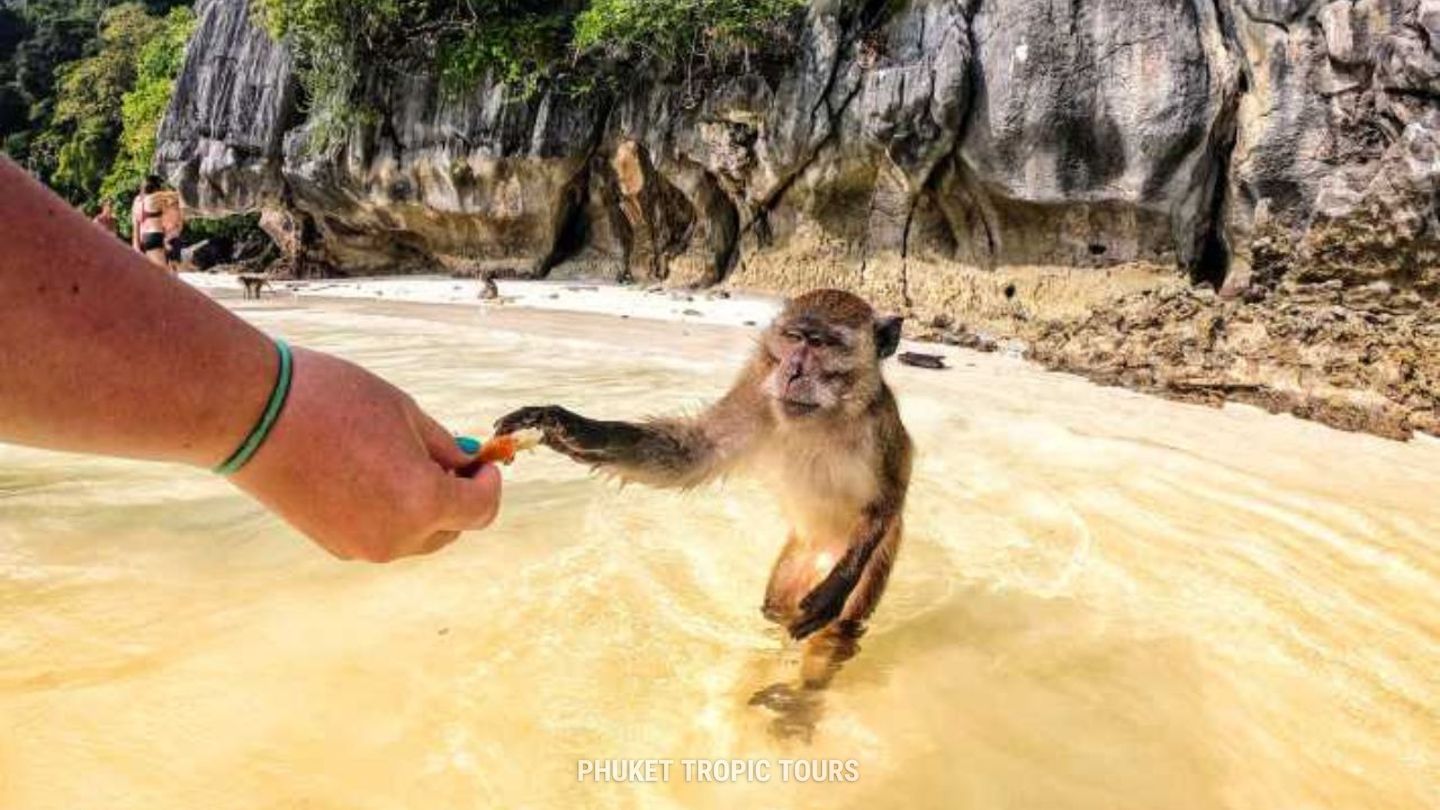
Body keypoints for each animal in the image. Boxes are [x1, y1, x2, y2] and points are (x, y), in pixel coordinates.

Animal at [495, 286, 910, 729]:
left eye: (822, 344)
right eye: (795, 338)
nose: (794, 371)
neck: (822, 417)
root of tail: (817, 554)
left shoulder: (880, 430)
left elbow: (887, 502)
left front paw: (836, 588)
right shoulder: (756, 392)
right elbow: (693, 451)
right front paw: (564, 424)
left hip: (870, 563)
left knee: (839, 632)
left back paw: (801, 698)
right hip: (792, 567)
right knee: (775, 610)